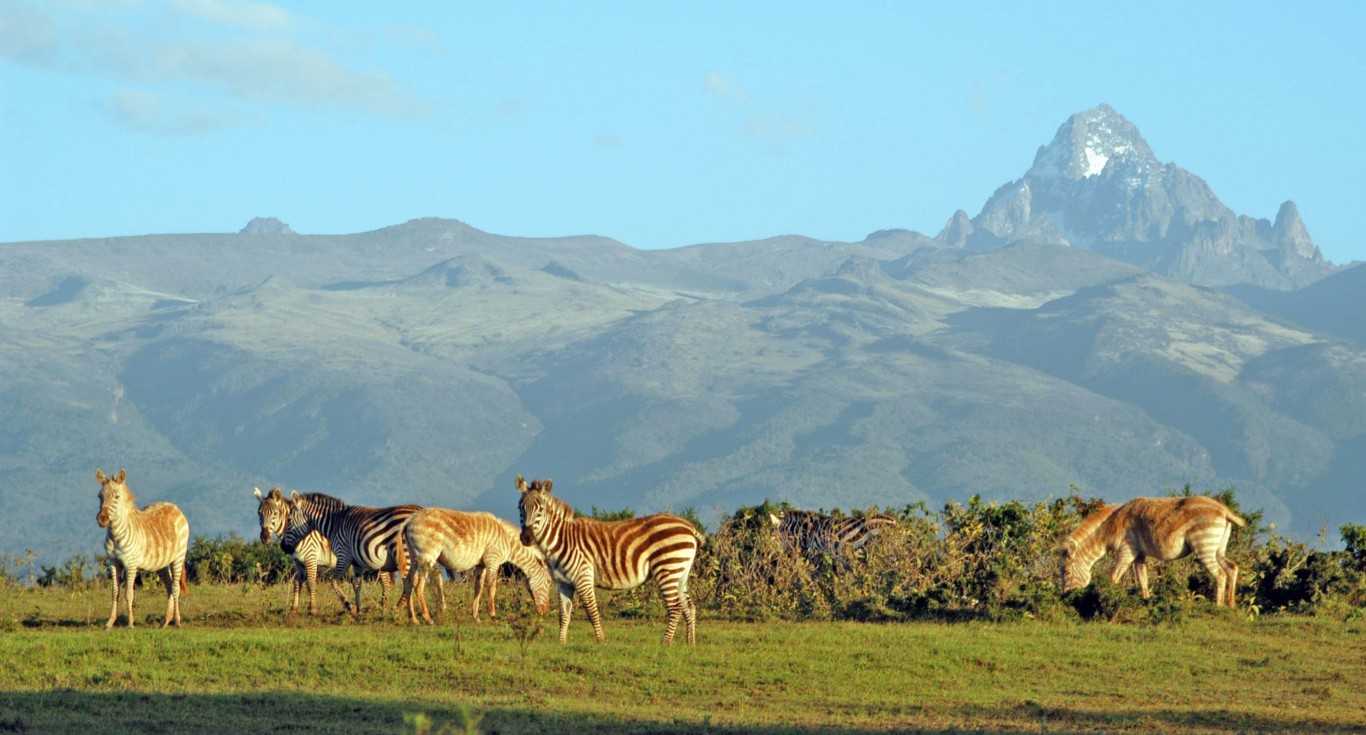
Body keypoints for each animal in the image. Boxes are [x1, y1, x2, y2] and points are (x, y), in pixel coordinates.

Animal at [94, 467, 189, 625]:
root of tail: (174, 507)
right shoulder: (113, 563)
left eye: (117, 497)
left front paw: (130, 623)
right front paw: (110, 623)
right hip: (162, 564)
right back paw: (165, 622)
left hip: (179, 557)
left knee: (176, 588)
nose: (102, 519)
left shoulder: (131, 564)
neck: (115, 535)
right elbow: (115, 592)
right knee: (169, 587)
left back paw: (177, 621)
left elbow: (128, 594)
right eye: (99, 496)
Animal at [281, 489, 420, 614]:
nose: (283, 547)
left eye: (289, 520)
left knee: (408, 582)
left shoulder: (343, 555)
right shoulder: (356, 562)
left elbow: (332, 581)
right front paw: (359, 610)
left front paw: (349, 606)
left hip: (403, 555)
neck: (335, 524)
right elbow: (356, 585)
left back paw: (396, 608)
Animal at [398, 505, 554, 620]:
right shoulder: (493, 560)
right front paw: (492, 614)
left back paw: (413, 618)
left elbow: (478, 588)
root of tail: (409, 520)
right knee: (419, 586)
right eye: (548, 582)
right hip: (427, 556)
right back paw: (427, 618)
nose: (544, 612)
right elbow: (491, 587)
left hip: (414, 556)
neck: (506, 541)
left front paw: (475, 616)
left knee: (408, 581)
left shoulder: (481, 564)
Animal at [513, 475, 704, 639]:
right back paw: (689, 643)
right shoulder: (563, 582)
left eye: (540, 509)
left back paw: (665, 644)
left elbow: (591, 611)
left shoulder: (583, 576)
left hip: (667, 568)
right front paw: (562, 643)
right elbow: (564, 614)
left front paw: (600, 641)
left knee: (675, 608)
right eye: (520, 508)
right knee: (689, 607)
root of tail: (688, 526)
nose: (526, 538)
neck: (561, 539)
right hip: (680, 572)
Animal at [1054, 491, 1251, 606]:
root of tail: (1224, 511)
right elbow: (1143, 581)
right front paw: (1146, 602)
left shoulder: (1127, 551)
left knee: (1220, 574)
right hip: (1217, 549)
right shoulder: (1139, 555)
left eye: (1066, 571)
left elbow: (1113, 577)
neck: (1111, 524)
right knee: (1232, 568)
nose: (1064, 597)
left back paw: (1218, 606)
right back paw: (1231, 605)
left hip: (1204, 546)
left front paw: (1106, 599)